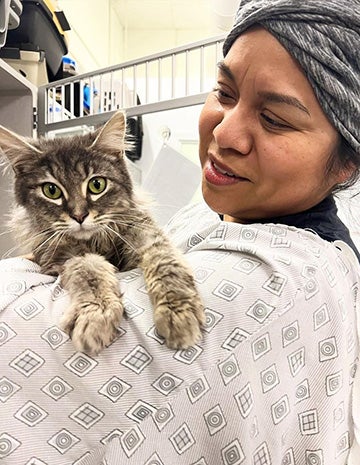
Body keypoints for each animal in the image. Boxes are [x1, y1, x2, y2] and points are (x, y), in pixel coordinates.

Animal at [0, 110, 204, 354]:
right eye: (51, 190)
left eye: (97, 185)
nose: (79, 216)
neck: (97, 241)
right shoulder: (64, 256)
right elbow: (90, 272)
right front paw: (97, 315)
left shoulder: (145, 234)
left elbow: (166, 264)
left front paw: (178, 311)